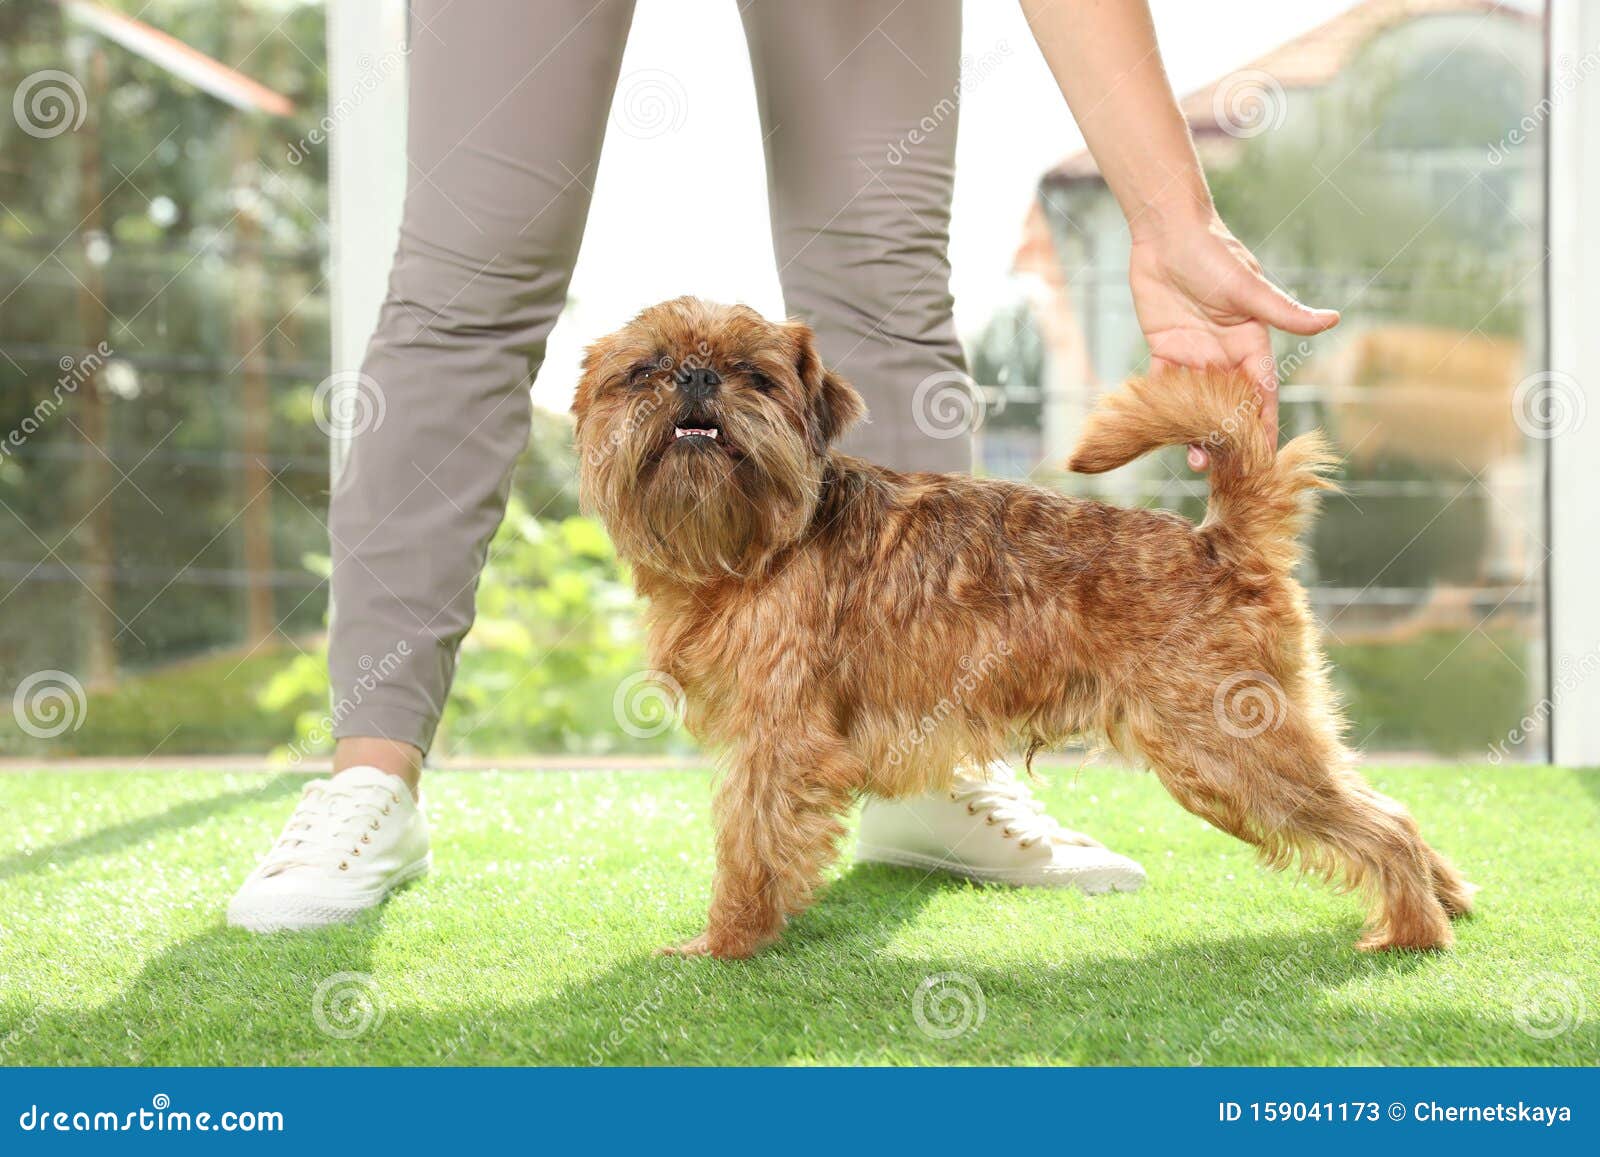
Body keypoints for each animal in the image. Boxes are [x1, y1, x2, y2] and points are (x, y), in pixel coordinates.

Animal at [576, 296, 1472, 960]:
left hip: (1228, 747)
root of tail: (1219, 539)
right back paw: (1447, 897)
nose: (696, 376)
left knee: (1381, 821)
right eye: (644, 370)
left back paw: (1411, 930)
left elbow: (750, 847)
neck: (749, 546)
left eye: (755, 377)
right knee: (1381, 800)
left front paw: (725, 943)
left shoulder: (776, 742)